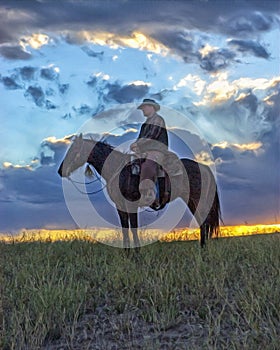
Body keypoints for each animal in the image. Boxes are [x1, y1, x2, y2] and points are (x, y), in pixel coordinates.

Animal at [58, 133, 222, 249]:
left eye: (74, 150)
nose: (60, 171)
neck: (119, 170)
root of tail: (204, 168)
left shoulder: (131, 205)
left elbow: (134, 229)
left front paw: (136, 254)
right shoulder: (120, 206)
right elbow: (125, 230)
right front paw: (127, 254)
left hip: (197, 200)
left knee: (203, 222)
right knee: (202, 222)